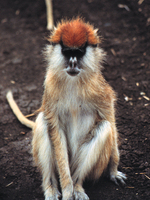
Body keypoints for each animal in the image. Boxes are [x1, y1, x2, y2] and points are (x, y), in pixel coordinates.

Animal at [6, 17, 125, 200]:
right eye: (68, 52)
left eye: (79, 52)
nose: (73, 63)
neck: (73, 81)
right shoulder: (50, 86)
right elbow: (55, 128)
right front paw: (67, 190)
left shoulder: (100, 91)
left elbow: (109, 120)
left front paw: (113, 171)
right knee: (43, 122)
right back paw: (52, 188)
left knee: (104, 127)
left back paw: (77, 186)